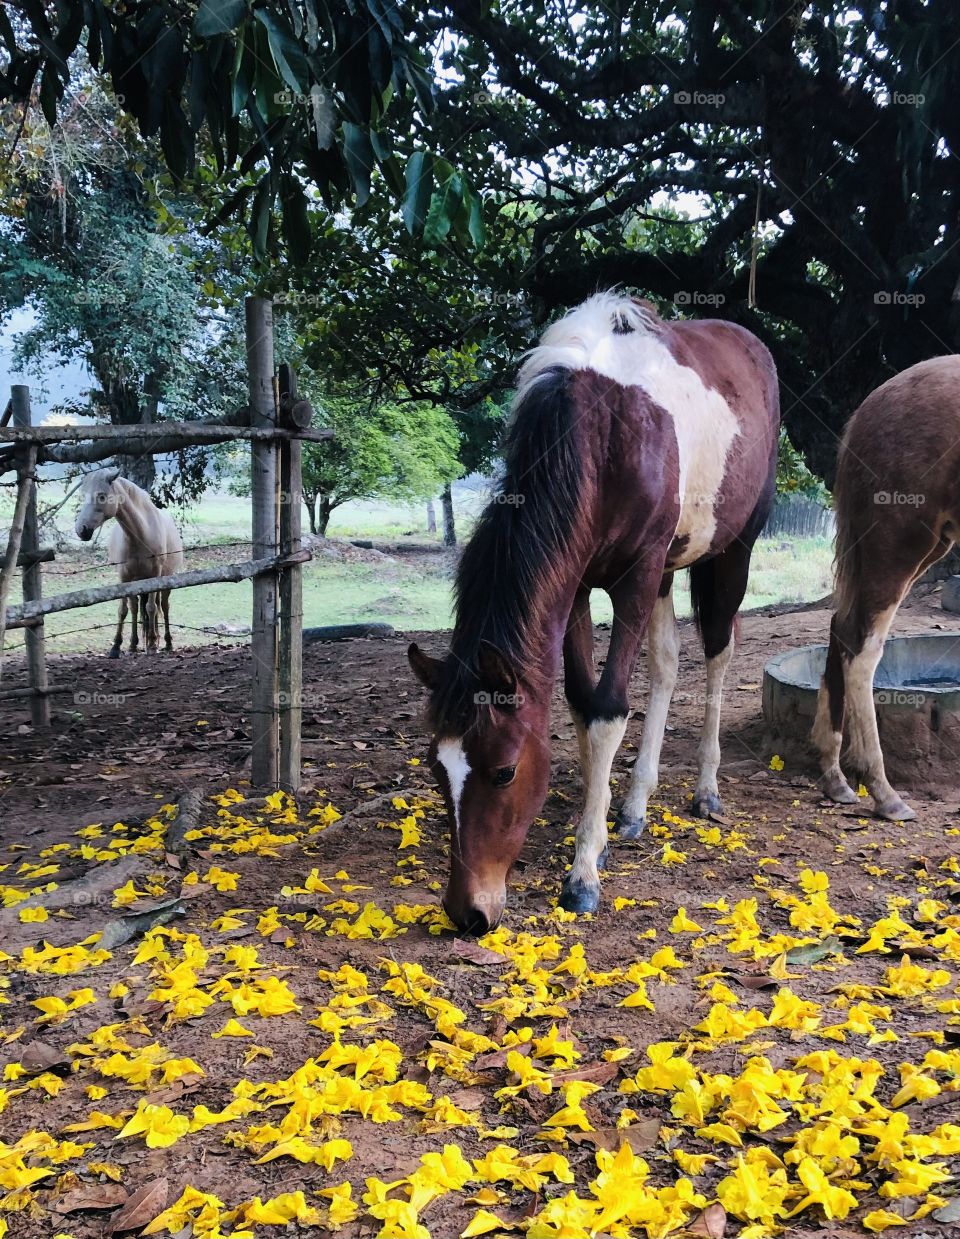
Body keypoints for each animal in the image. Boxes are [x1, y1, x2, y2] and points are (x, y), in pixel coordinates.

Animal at [75, 467, 184, 657]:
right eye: (83, 495)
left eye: (102, 496)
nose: (80, 530)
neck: (141, 534)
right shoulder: (124, 577)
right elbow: (123, 610)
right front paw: (116, 646)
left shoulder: (154, 576)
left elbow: (151, 608)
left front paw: (153, 643)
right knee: (135, 608)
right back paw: (134, 643)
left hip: (164, 580)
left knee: (163, 606)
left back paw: (166, 642)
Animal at [409, 292, 780, 934]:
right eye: (437, 768)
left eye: (504, 771)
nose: (468, 912)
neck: (605, 432)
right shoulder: (579, 585)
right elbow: (583, 705)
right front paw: (600, 826)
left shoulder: (636, 577)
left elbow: (607, 708)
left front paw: (583, 873)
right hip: (668, 572)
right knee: (666, 665)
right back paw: (634, 804)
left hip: (732, 550)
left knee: (717, 650)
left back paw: (706, 789)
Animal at [813, 356, 960, 821]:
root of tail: (868, 409)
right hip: (899, 544)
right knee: (863, 650)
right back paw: (883, 792)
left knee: (842, 628)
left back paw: (835, 777)